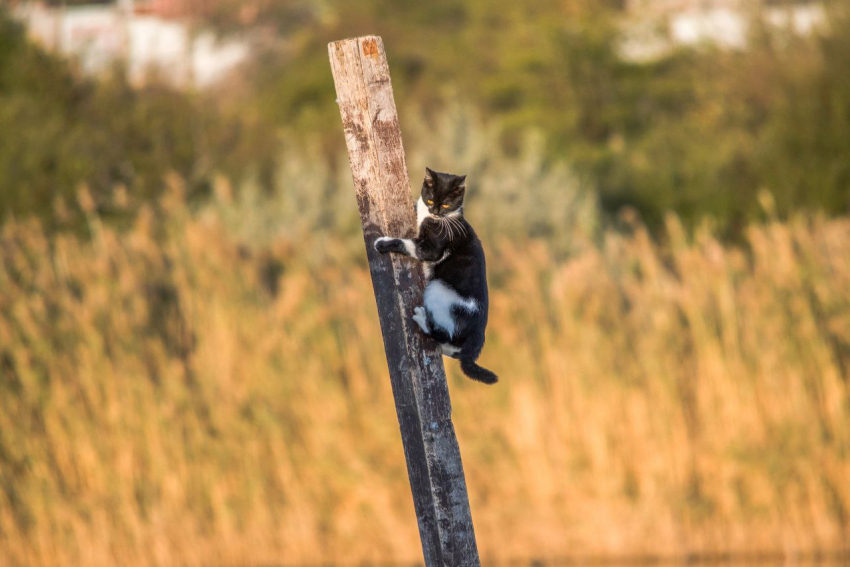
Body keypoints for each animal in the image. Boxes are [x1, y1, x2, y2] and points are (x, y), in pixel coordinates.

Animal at [372, 166, 496, 384]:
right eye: (430, 200)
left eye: (446, 203)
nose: (436, 212)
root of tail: (479, 331)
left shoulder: (431, 248)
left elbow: (406, 243)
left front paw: (383, 243)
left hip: (437, 288)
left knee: (443, 334)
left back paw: (422, 318)